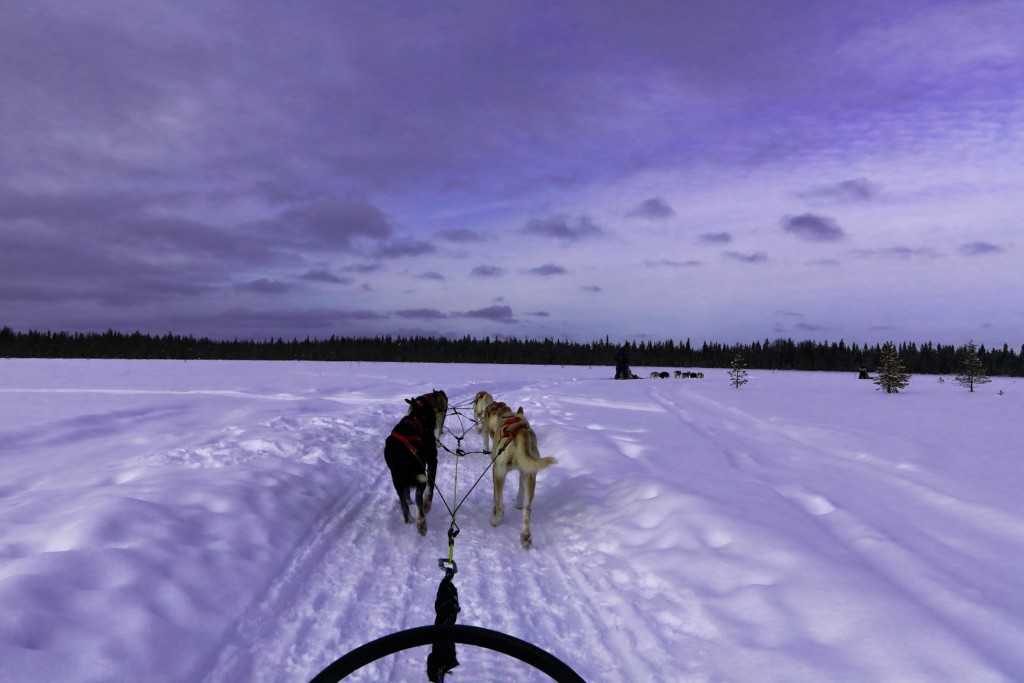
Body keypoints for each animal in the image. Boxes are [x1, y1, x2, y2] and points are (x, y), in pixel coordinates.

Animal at [380, 397, 436, 536]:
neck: (416, 418)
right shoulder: (432, 461)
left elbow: (406, 496)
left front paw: (408, 501)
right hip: (420, 477)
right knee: (418, 499)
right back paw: (421, 523)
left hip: (397, 481)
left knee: (403, 503)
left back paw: (409, 518)